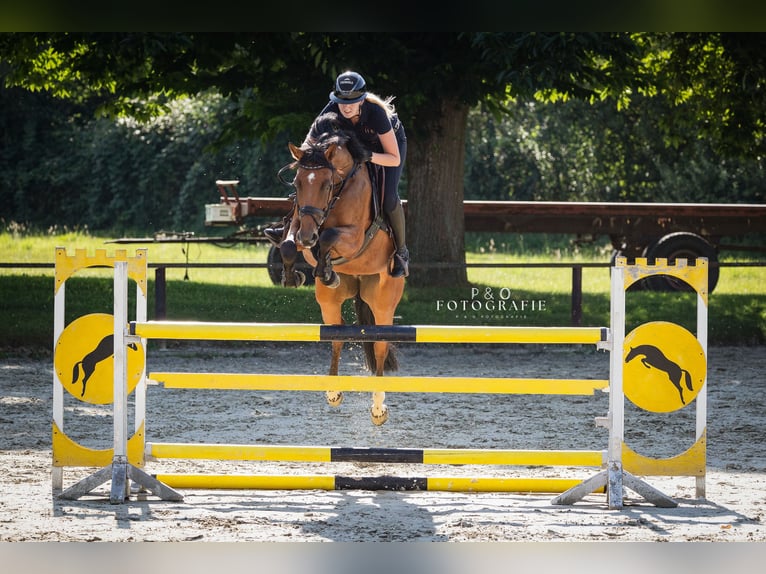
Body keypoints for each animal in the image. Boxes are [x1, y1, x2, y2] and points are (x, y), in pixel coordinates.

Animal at [276, 113, 408, 428]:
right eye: (297, 183)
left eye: (327, 184)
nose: (307, 237)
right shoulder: (297, 223)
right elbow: (288, 245)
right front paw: (294, 275)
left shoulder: (354, 237)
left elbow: (329, 236)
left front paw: (323, 264)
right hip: (329, 301)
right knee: (335, 336)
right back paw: (333, 392)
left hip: (383, 302)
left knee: (380, 347)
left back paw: (378, 408)